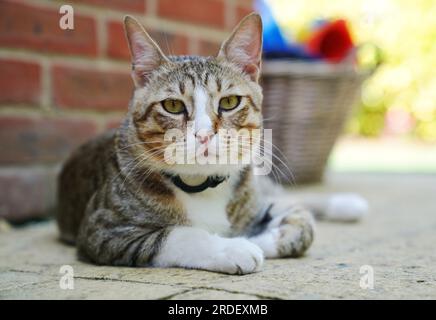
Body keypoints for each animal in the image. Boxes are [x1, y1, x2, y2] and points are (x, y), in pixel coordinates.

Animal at [56, 13, 366, 276]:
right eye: (172, 105)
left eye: (229, 102)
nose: (204, 134)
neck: (200, 185)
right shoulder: (103, 229)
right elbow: (176, 234)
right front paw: (233, 246)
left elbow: (303, 223)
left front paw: (259, 238)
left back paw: (347, 203)